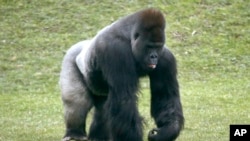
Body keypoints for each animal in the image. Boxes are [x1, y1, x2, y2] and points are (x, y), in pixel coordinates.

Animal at [59, 8, 183, 141]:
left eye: (157, 46)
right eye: (149, 46)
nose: (154, 56)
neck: (129, 37)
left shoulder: (166, 58)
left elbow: (165, 96)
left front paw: (167, 131)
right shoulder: (117, 51)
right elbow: (124, 99)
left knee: (103, 110)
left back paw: (97, 137)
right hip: (70, 58)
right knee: (78, 102)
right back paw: (74, 133)